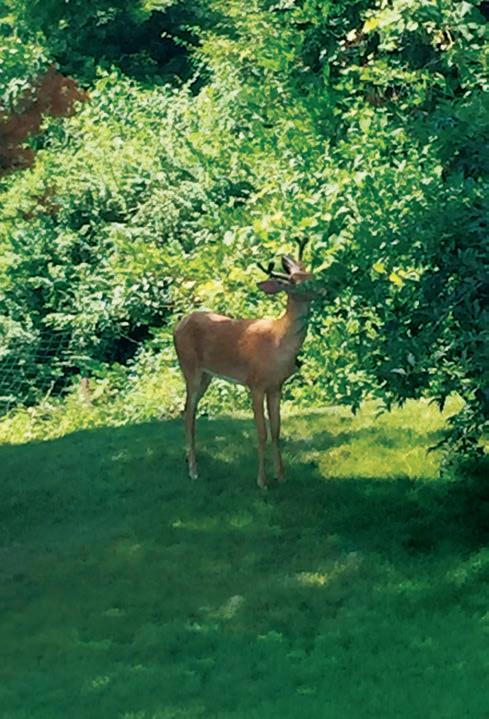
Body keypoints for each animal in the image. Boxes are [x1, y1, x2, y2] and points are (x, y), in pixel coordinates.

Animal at [173, 240, 318, 488]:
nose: (324, 289)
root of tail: (177, 325)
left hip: (206, 375)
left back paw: (190, 458)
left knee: (187, 412)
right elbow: (261, 432)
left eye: (312, 275)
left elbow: (276, 430)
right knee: (188, 412)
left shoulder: (276, 386)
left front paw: (281, 475)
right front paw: (262, 481)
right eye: (299, 284)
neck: (278, 340)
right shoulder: (255, 384)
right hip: (189, 367)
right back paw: (193, 470)